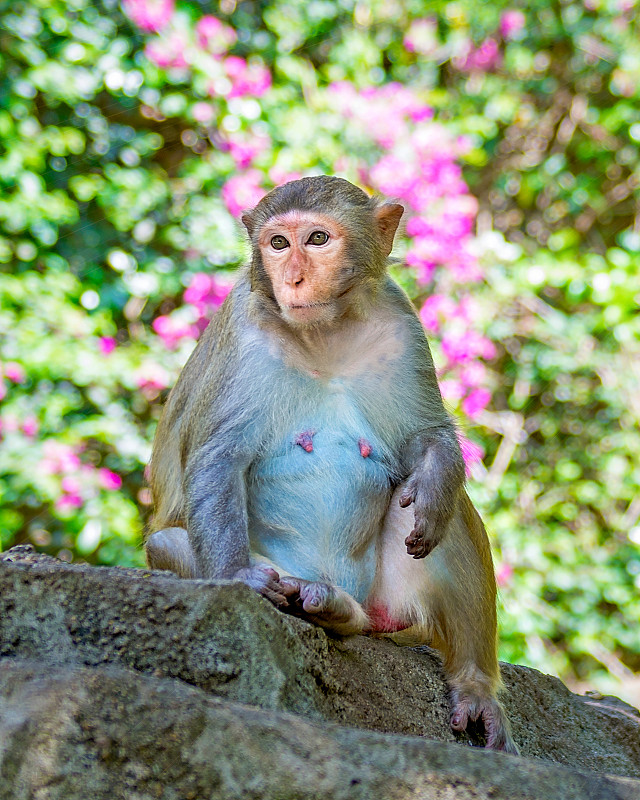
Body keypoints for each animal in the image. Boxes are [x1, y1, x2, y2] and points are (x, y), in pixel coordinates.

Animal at [146, 177, 520, 756]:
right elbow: (217, 460)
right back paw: (310, 601)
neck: (324, 334)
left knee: (446, 513)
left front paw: (435, 477)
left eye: (317, 238)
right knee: (169, 544)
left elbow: (425, 437)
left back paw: (462, 677)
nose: (293, 277)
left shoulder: (399, 322)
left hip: (388, 598)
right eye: (278, 244)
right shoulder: (244, 335)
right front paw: (236, 577)